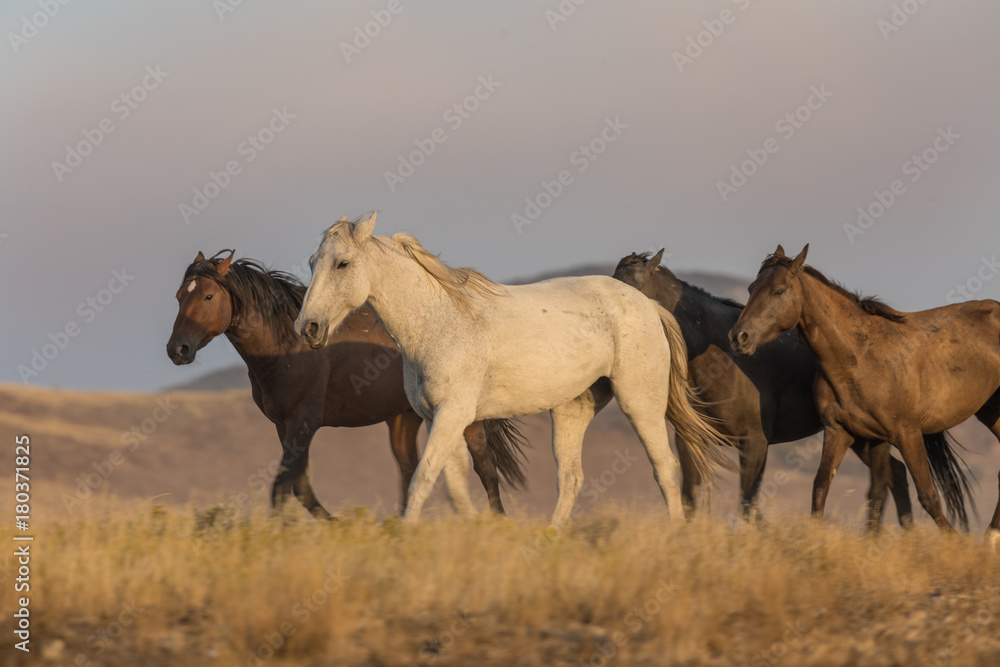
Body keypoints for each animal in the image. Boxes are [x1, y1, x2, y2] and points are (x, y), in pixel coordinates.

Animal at [166, 250, 529, 519]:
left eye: (209, 295)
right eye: (180, 296)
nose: (177, 350)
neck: (285, 347)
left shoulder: (304, 423)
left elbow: (283, 487)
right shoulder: (284, 426)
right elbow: (300, 487)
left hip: (463, 418)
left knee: (485, 467)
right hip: (403, 419)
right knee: (409, 471)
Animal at [294, 212, 734, 528]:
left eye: (342, 263)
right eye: (313, 262)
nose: (308, 328)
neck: (440, 321)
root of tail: (649, 306)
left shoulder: (452, 416)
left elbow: (422, 480)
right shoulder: (442, 419)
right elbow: (454, 487)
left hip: (640, 404)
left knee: (666, 469)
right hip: (572, 410)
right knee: (571, 478)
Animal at [613, 250, 913, 528]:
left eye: (632, 292)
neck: (719, 361)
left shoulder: (755, 442)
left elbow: (748, 504)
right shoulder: (690, 440)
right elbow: (690, 499)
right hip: (860, 436)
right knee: (897, 474)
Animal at [730, 244, 998, 540]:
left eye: (778, 290)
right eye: (751, 288)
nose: (739, 337)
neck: (860, 358)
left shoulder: (907, 433)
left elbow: (926, 494)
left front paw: (955, 544)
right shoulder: (845, 432)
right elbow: (827, 487)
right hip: (991, 413)